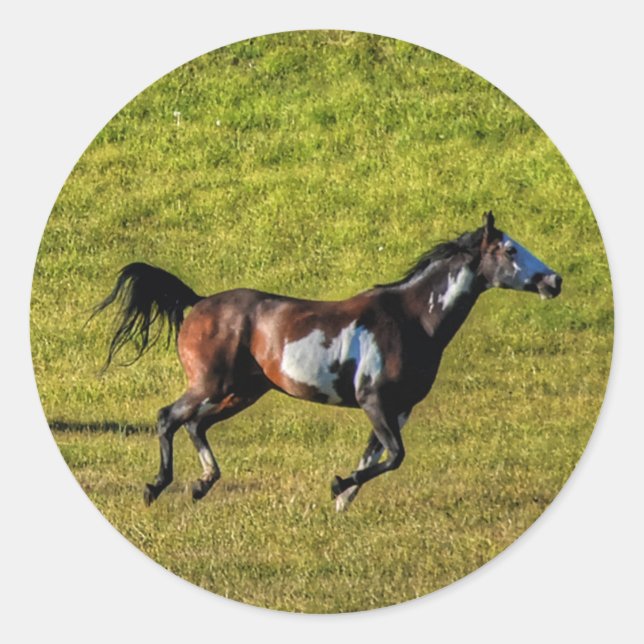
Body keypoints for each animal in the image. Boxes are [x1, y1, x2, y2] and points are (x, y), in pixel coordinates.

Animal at [93, 211, 562, 511]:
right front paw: (338, 486)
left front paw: (341, 502)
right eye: (509, 250)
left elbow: (374, 458)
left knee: (194, 425)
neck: (411, 319)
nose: (554, 281)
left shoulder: (399, 409)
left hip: (243, 392)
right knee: (168, 417)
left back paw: (201, 485)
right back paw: (156, 488)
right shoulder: (376, 402)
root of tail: (200, 301)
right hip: (210, 384)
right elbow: (394, 456)